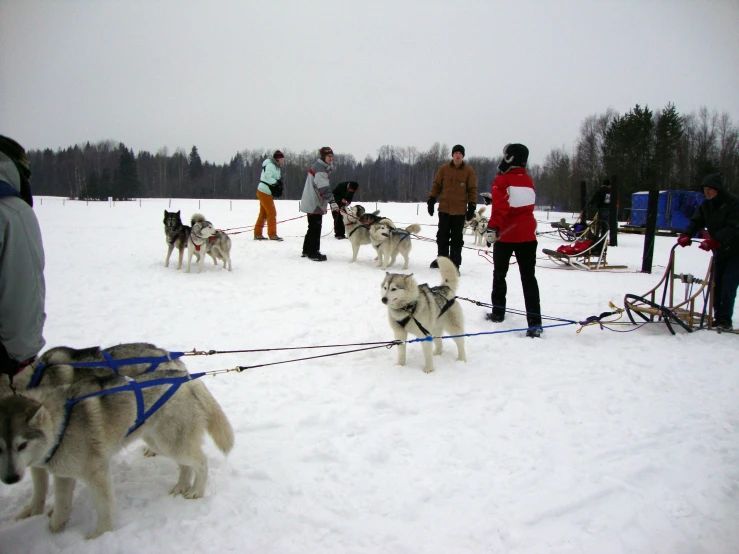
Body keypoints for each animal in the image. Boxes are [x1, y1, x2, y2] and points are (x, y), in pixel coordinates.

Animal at [0, 368, 233, 536]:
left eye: (21, 445)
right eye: (0, 446)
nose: (10, 478)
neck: (61, 423)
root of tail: (188, 379)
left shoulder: (97, 472)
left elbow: (104, 508)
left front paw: (98, 535)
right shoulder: (63, 474)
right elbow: (62, 504)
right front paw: (54, 528)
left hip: (172, 443)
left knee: (201, 462)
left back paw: (196, 491)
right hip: (160, 441)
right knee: (186, 466)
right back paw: (182, 486)